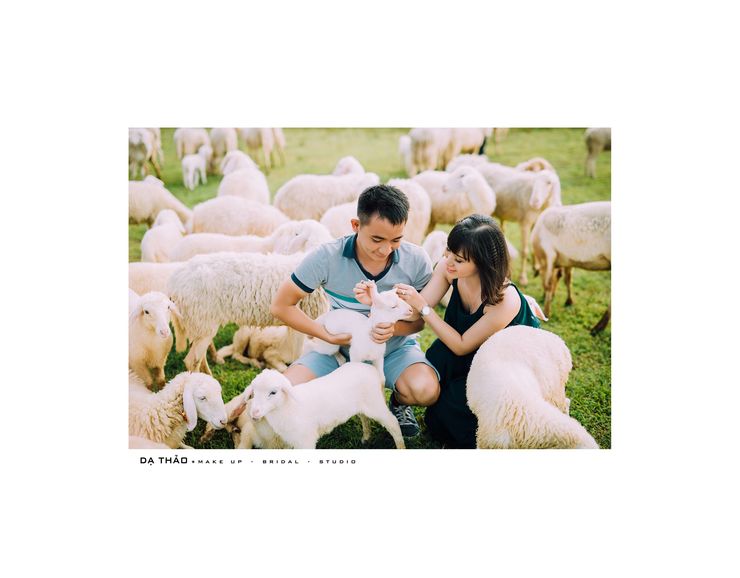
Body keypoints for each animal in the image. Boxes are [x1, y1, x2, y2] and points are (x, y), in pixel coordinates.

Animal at [244, 362, 406, 449]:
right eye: (254, 392)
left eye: (273, 392)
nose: (254, 413)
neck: (287, 408)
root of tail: (373, 370)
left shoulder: (306, 440)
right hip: (362, 404)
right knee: (364, 418)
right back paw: (366, 438)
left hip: (375, 403)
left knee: (392, 422)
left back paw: (400, 446)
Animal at [531, 201, 611, 333]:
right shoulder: (567, 260)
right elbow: (566, 279)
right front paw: (569, 301)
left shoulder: (549, 254)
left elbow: (549, 283)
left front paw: (546, 312)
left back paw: (597, 328)